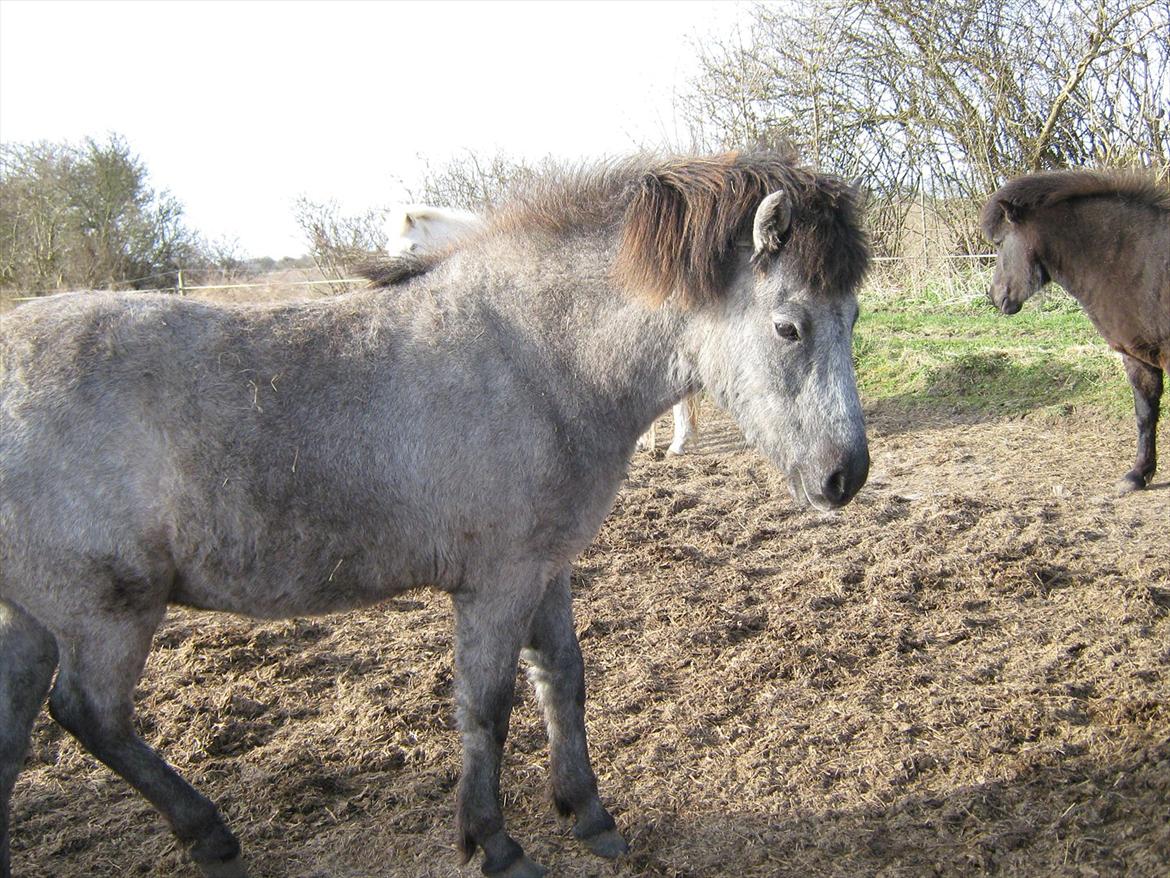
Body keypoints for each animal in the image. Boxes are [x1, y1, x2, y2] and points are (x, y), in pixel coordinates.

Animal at [0, 151, 870, 878]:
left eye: (854, 317)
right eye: (789, 325)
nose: (846, 476)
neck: (535, 359)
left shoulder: (546, 569)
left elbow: (563, 681)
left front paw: (587, 813)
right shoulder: (496, 583)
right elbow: (485, 708)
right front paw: (495, 844)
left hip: (34, 619)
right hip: (107, 612)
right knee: (92, 716)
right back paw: (212, 836)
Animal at [982, 168, 1165, 491]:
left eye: (1000, 243)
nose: (994, 296)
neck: (1136, 260)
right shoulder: (1140, 357)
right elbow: (1146, 413)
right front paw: (1137, 474)